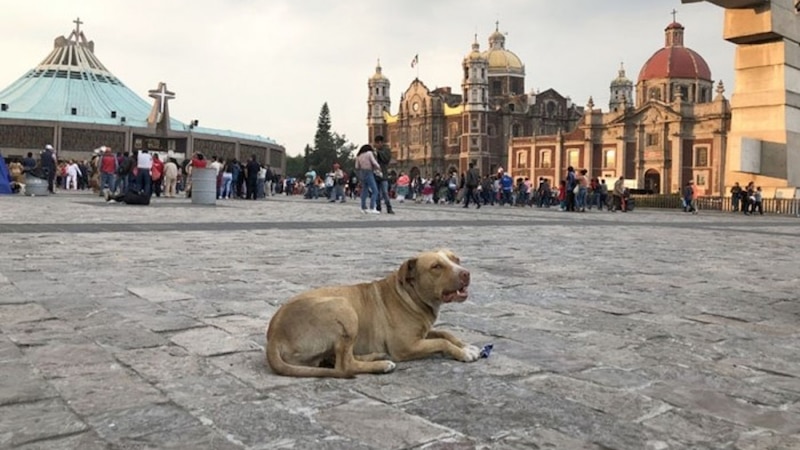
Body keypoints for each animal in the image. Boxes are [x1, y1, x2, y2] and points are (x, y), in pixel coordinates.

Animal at [268, 250, 482, 376]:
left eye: (456, 259)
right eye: (436, 266)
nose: (466, 273)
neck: (409, 294)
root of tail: (274, 337)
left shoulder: (422, 333)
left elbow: (445, 333)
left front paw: (466, 346)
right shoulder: (406, 346)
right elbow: (441, 342)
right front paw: (463, 353)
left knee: (337, 359)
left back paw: (375, 356)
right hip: (344, 308)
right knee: (345, 365)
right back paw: (381, 365)